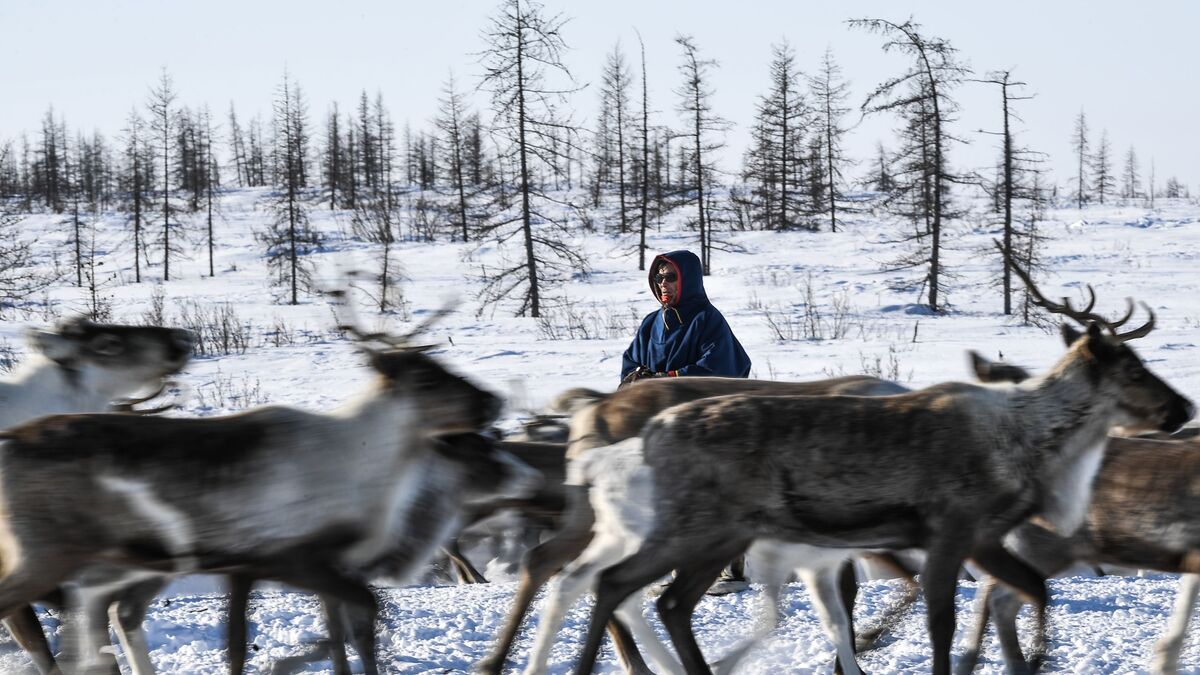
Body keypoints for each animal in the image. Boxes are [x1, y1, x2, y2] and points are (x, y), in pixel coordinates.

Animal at [568, 250, 1194, 675]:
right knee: (624, 586)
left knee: (658, 600)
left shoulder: (979, 537)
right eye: (1132, 367)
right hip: (696, 529)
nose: (1184, 407)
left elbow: (1033, 591)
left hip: (715, 535)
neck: (1028, 441)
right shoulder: (950, 529)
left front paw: (1033, 658)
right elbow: (940, 619)